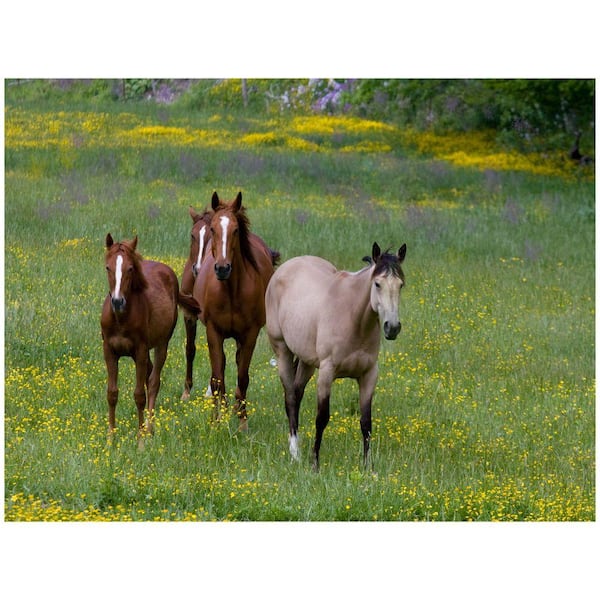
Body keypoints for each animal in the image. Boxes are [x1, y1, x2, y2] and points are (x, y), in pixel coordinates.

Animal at [101, 233, 199, 436]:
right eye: (108, 267)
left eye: (130, 268)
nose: (117, 301)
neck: (121, 319)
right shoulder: (109, 351)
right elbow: (112, 393)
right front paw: (110, 437)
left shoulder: (139, 351)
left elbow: (139, 395)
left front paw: (141, 436)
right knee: (150, 376)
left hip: (160, 344)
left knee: (154, 382)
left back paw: (150, 427)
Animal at [183, 190, 278, 428]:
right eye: (214, 229)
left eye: (236, 230)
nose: (222, 268)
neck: (230, 290)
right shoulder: (213, 331)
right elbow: (217, 377)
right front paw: (216, 421)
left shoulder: (250, 333)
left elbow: (243, 377)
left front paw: (242, 422)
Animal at [264, 241, 406, 466]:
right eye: (377, 284)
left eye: (400, 285)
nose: (392, 327)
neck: (353, 318)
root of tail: (286, 267)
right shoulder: (327, 372)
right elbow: (322, 418)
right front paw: (315, 464)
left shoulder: (369, 375)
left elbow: (366, 422)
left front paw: (368, 467)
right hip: (282, 352)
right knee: (290, 398)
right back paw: (295, 452)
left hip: (307, 362)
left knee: (297, 392)